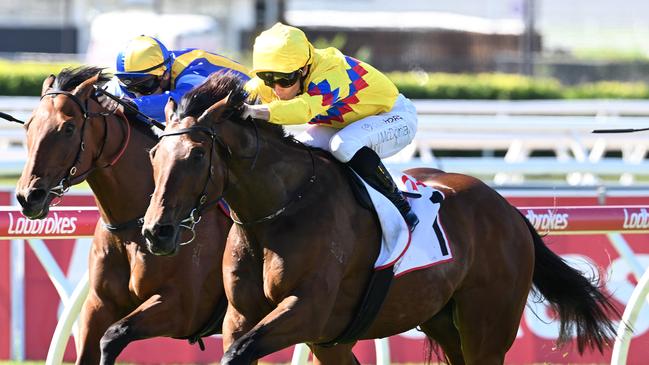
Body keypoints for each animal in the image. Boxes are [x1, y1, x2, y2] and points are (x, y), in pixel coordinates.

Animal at [14, 66, 233, 364]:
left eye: (68, 128)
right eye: (28, 125)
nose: (28, 196)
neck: (133, 227)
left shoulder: (183, 308)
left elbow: (115, 335)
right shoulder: (99, 304)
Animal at [144, 72, 620, 364]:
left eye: (197, 154)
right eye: (154, 154)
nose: (156, 232)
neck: (277, 214)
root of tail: (510, 212)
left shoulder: (306, 310)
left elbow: (238, 353)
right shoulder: (250, 318)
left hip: (488, 327)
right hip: (441, 319)